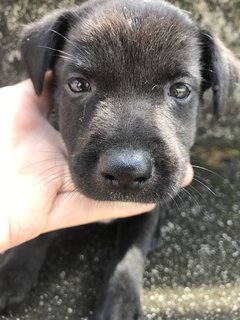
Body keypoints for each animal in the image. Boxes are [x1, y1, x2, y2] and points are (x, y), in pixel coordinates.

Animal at [0, 0, 240, 318]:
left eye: (180, 90)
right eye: (78, 85)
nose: (126, 170)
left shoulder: (147, 208)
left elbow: (133, 246)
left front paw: (121, 299)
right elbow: (39, 233)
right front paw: (14, 270)